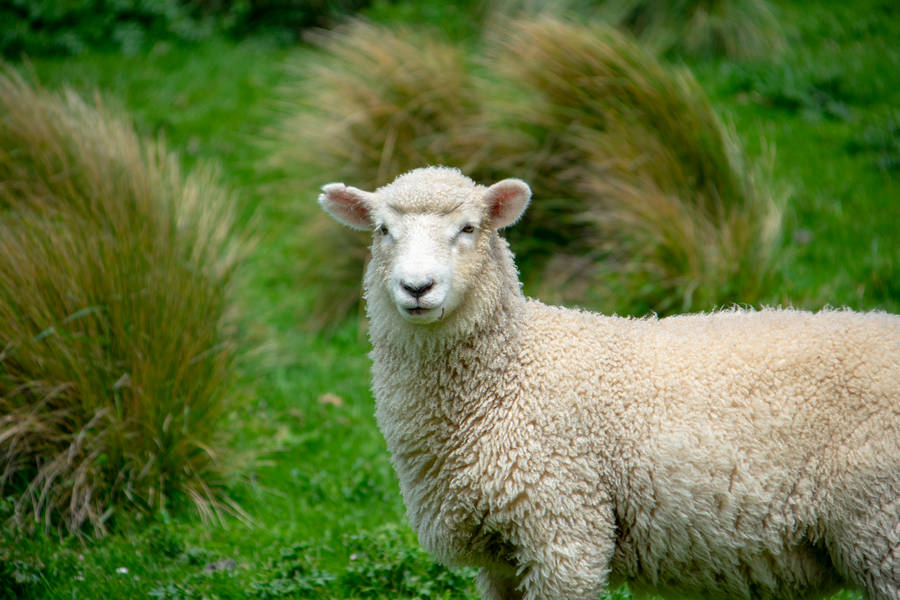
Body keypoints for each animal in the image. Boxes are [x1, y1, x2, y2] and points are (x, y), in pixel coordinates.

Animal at [318, 166, 900, 600]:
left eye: (468, 229)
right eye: (382, 231)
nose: (417, 288)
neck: (509, 374)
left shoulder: (564, 528)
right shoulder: (502, 557)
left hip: (881, 527)